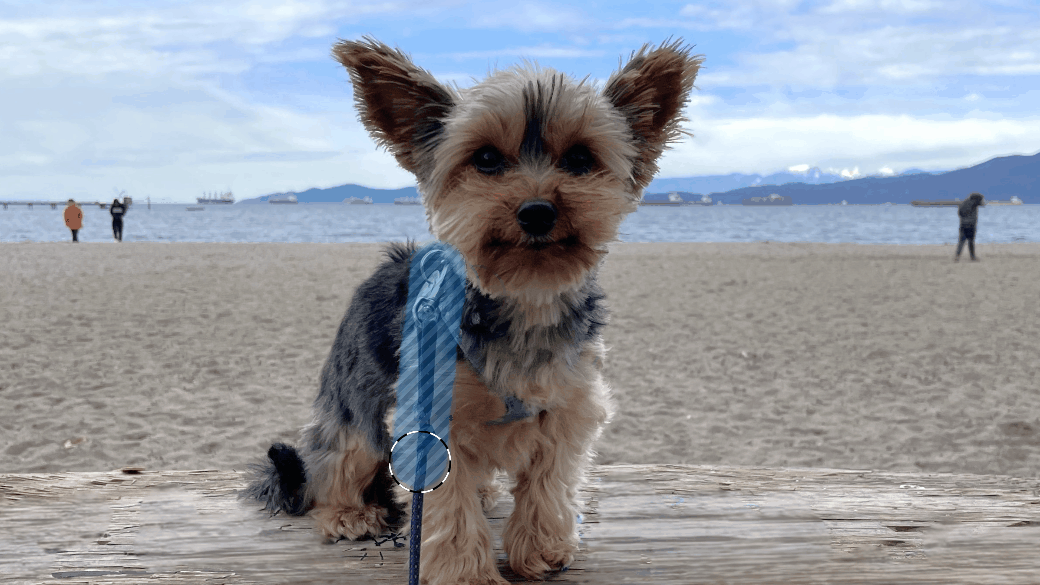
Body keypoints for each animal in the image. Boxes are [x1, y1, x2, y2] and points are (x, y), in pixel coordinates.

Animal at [245, 37, 698, 582]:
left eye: (579, 157)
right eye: (485, 158)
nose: (537, 211)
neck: (524, 298)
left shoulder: (568, 407)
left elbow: (549, 482)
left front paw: (542, 547)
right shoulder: (431, 422)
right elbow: (450, 510)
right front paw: (465, 572)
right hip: (356, 404)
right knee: (334, 463)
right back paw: (350, 514)